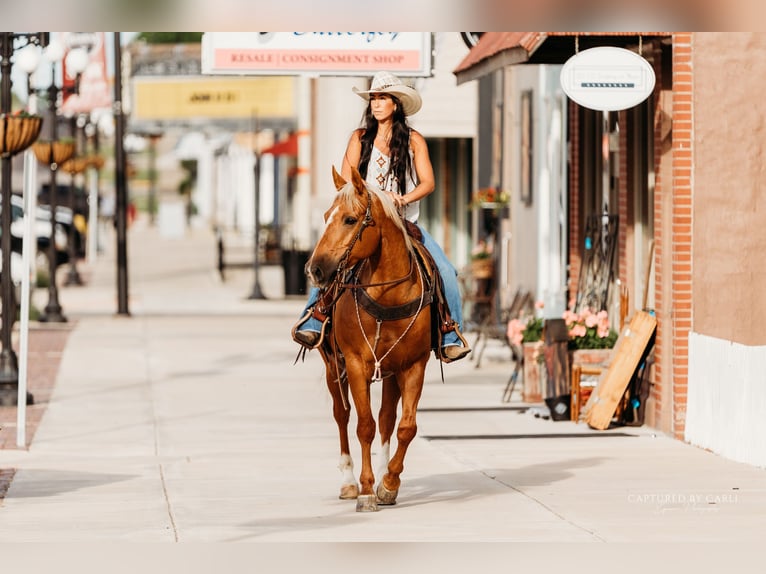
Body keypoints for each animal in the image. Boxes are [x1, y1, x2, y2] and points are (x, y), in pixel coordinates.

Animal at [308, 165, 438, 512]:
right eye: (325, 215)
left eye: (350, 219)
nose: (314, 269)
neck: (388, 296)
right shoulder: (355, 364)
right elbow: (363, 425)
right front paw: (366, 490)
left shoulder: (414, 365)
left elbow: (405, 427)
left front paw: (388, 484)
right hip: (333, 366)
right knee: (342, 415)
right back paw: (349, 481)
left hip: (391, 370)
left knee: (387, 419)